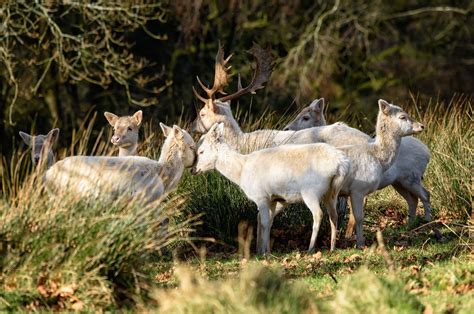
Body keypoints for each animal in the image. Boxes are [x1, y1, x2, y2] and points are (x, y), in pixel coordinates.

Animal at [191, 122, 350, 255]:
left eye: (201, 151)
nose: (193, 170)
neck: (241, 171)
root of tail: (341, 163)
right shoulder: (273, 199)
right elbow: (267, 221)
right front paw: (264, 249)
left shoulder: (261, 196)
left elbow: (265, 222)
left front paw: (264, 253)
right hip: (331, 193)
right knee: (334, 215)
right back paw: (332, 247)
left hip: (311, 191)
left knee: (318, 214)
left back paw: (310, 249)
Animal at [284, 97, 432, 236]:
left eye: (306, 117)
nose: (287, 128)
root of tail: (427, 153)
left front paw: (348, 234)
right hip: (399, 182)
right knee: (413, 199)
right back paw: (410, 225)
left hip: (412, 177)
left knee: (425, 195)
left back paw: (427, 222)